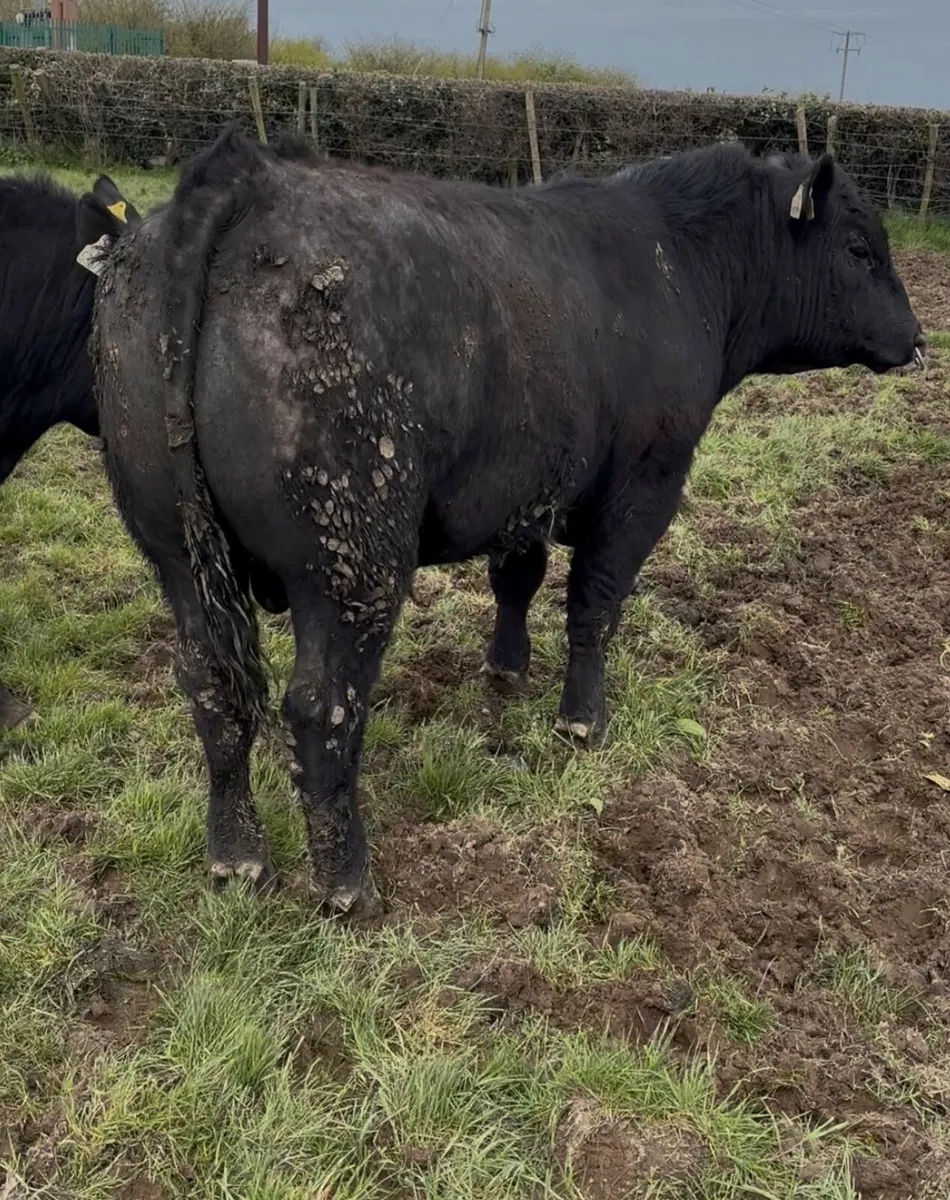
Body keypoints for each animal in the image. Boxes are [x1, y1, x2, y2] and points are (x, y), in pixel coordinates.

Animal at [84, 126, 924, 913]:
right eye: (859, 249)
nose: (918, 339)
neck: (676, 262)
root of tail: (245, 175)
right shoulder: (642, 488)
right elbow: (594, 606)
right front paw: (583, 720)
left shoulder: (525, 489)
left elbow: (517, 578)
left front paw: (507, 669)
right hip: (351, 560)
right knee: (321, 709)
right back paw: (346, 882)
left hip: (175, 553)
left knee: (213, 689)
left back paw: (236, 858)